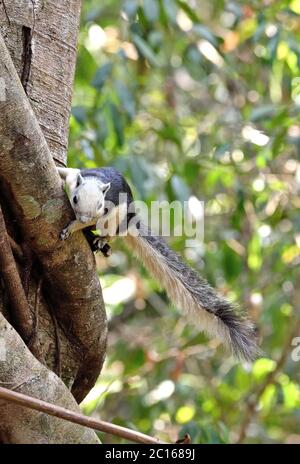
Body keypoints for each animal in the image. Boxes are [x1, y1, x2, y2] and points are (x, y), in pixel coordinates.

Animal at [57, 167, 258, 362]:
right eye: (75, 198)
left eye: (100, 205)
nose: (83, 218)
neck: (96, 179)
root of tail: (132, 220)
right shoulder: (75, 177)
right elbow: (66, 172)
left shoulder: (107, 209)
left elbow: (91, 220)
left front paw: (73, 227)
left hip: (119, 218)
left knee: (113, 231)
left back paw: (101, 239)